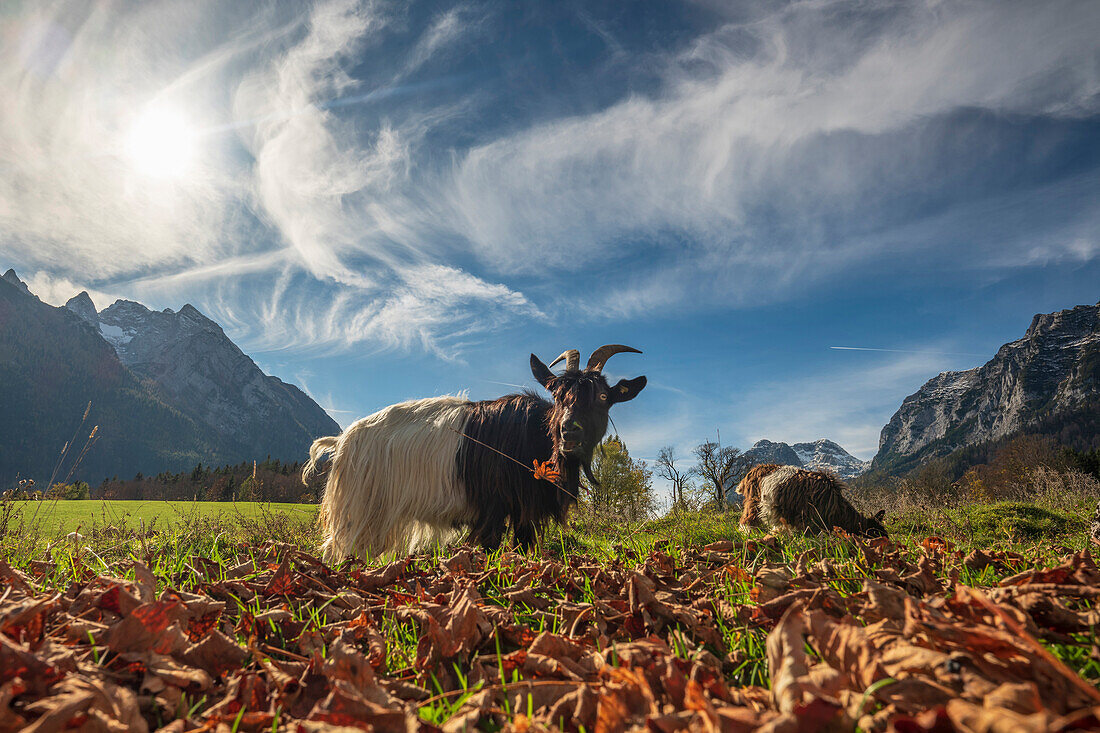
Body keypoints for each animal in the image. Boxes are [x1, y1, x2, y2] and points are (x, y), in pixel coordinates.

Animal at [301, 345, 642, 556]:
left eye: (602, 396)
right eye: (558, 395)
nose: (569, 429)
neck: (535, 435)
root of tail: (343, 440)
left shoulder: (523, 510)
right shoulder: (493, 506)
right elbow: (490, 545)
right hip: (360, 507)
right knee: (339, 548)